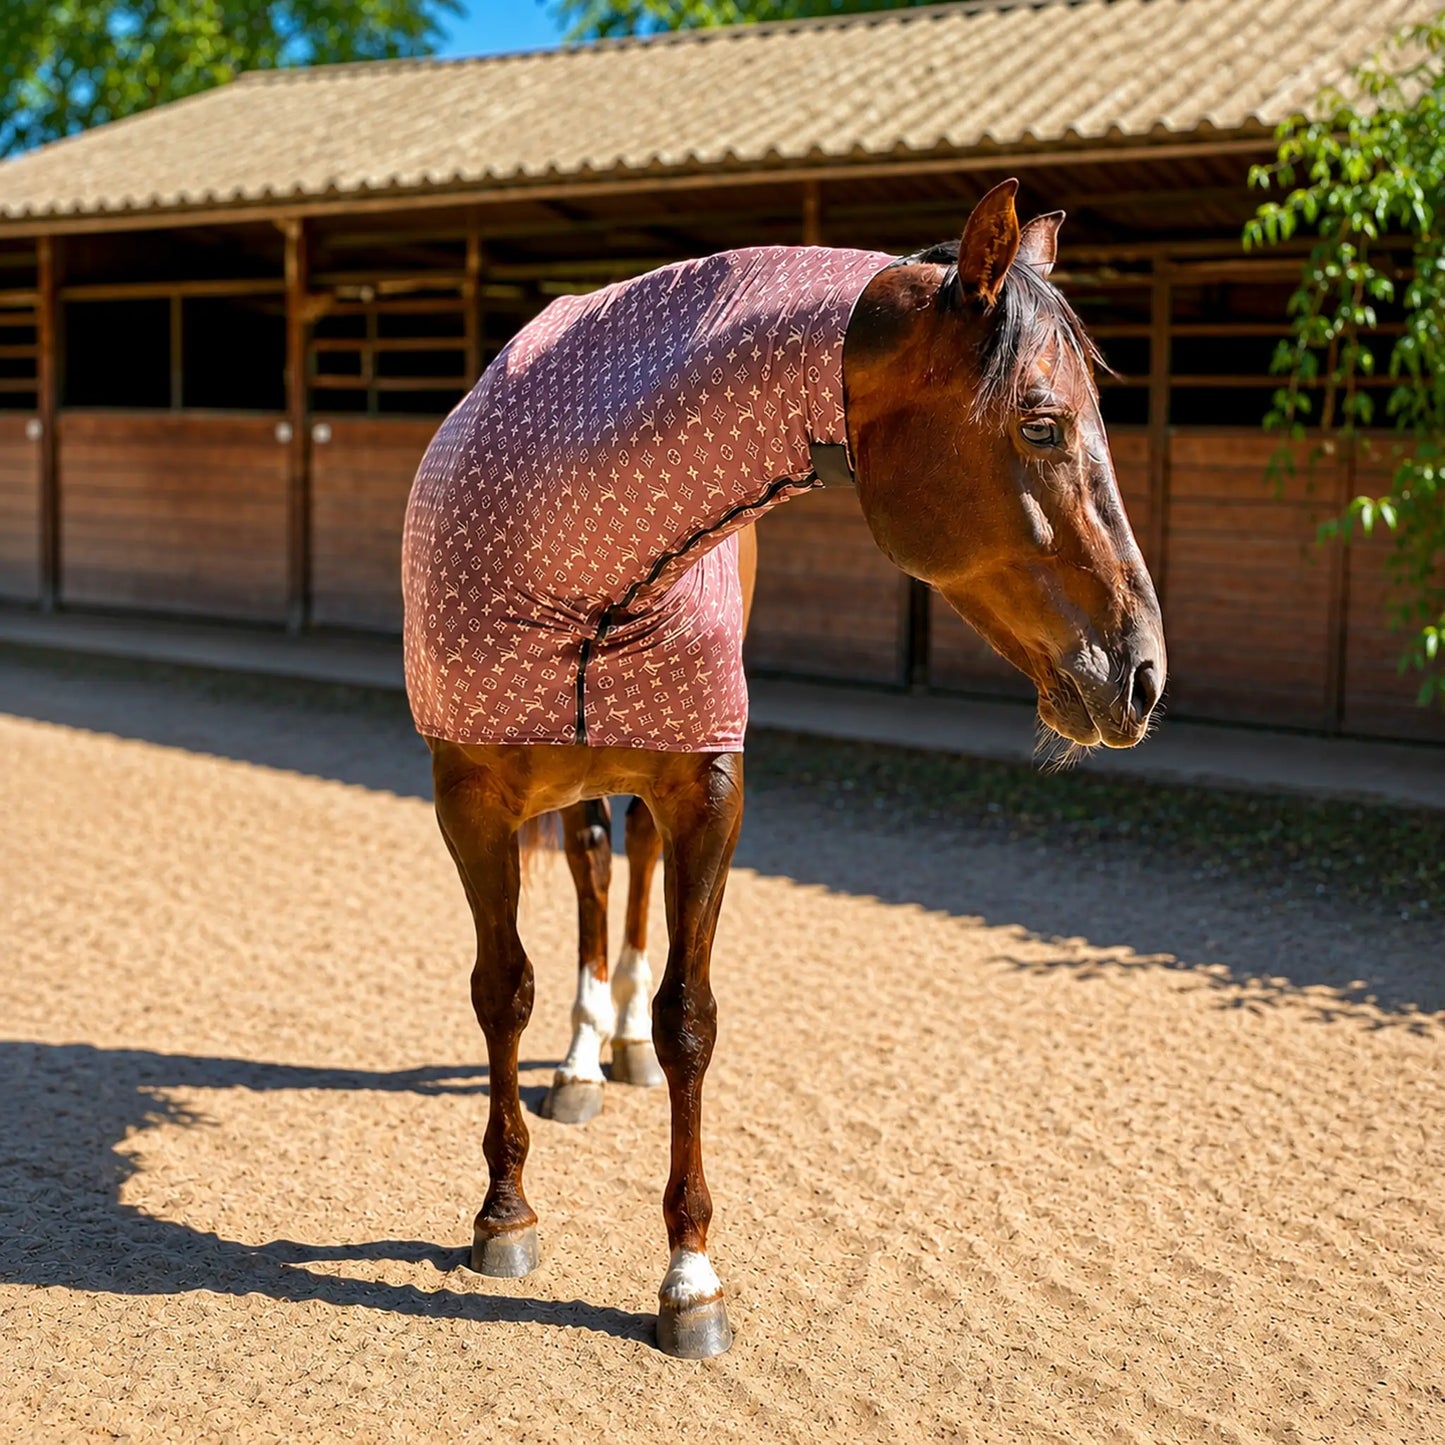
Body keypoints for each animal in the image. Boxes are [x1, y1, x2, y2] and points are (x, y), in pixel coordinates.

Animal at [402, 179, 1166, 1358]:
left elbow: (690, 1018)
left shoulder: (709, 792)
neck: (580, 576)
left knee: (628, 883)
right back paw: (579, 1057)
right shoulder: (467, 803)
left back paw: (616, 1042)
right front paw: (504, 1212)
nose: (1141, 670)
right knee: (590, 876)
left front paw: (689, 1277)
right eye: (1041, 421)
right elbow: (502, 990)